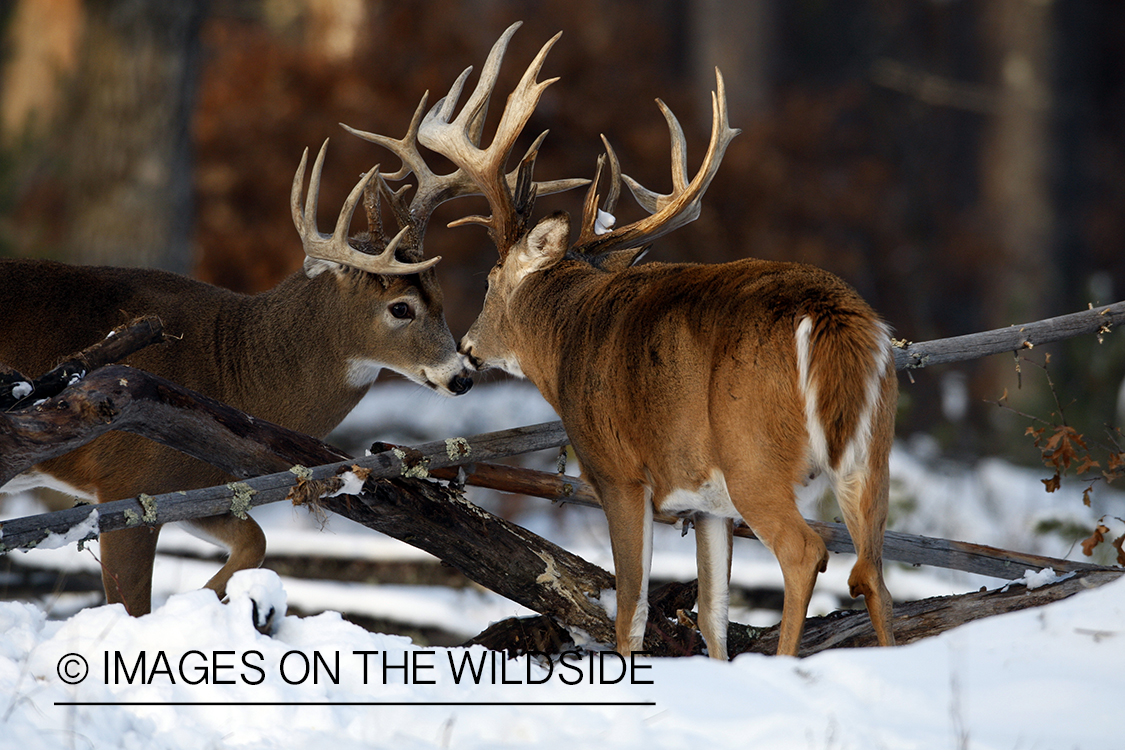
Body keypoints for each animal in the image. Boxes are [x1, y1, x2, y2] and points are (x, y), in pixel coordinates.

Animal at [0, 117, 580, 620]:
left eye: (440, 296)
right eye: (401, 308)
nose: (461, 376)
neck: (231, 365)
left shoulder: (200, 487)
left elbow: (255, 542)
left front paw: (214, 601)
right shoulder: (128, 485)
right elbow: (131, 609)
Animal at [423, 22, 895, 656]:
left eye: (490, 280)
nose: (469, 347)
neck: (567, 337)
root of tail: (832, 317)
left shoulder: (619, 471)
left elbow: (630, 607)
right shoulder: (708, 503)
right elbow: (713, 612)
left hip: (755, 455)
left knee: (806, 553)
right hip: (871, 454)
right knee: (873, 573)